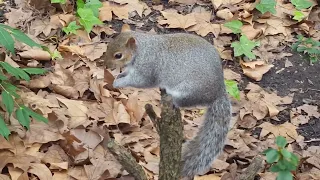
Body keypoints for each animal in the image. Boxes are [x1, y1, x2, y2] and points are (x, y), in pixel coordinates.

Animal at [105, 25, 232, 179]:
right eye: (108, 45)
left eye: (118, 55)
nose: (105, 64)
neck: (142, 50)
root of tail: (218, 92)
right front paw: (119, 76)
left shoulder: (147, 69)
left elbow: (140, 81)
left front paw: (118, 82)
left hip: (187, 92)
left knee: (180, 102)